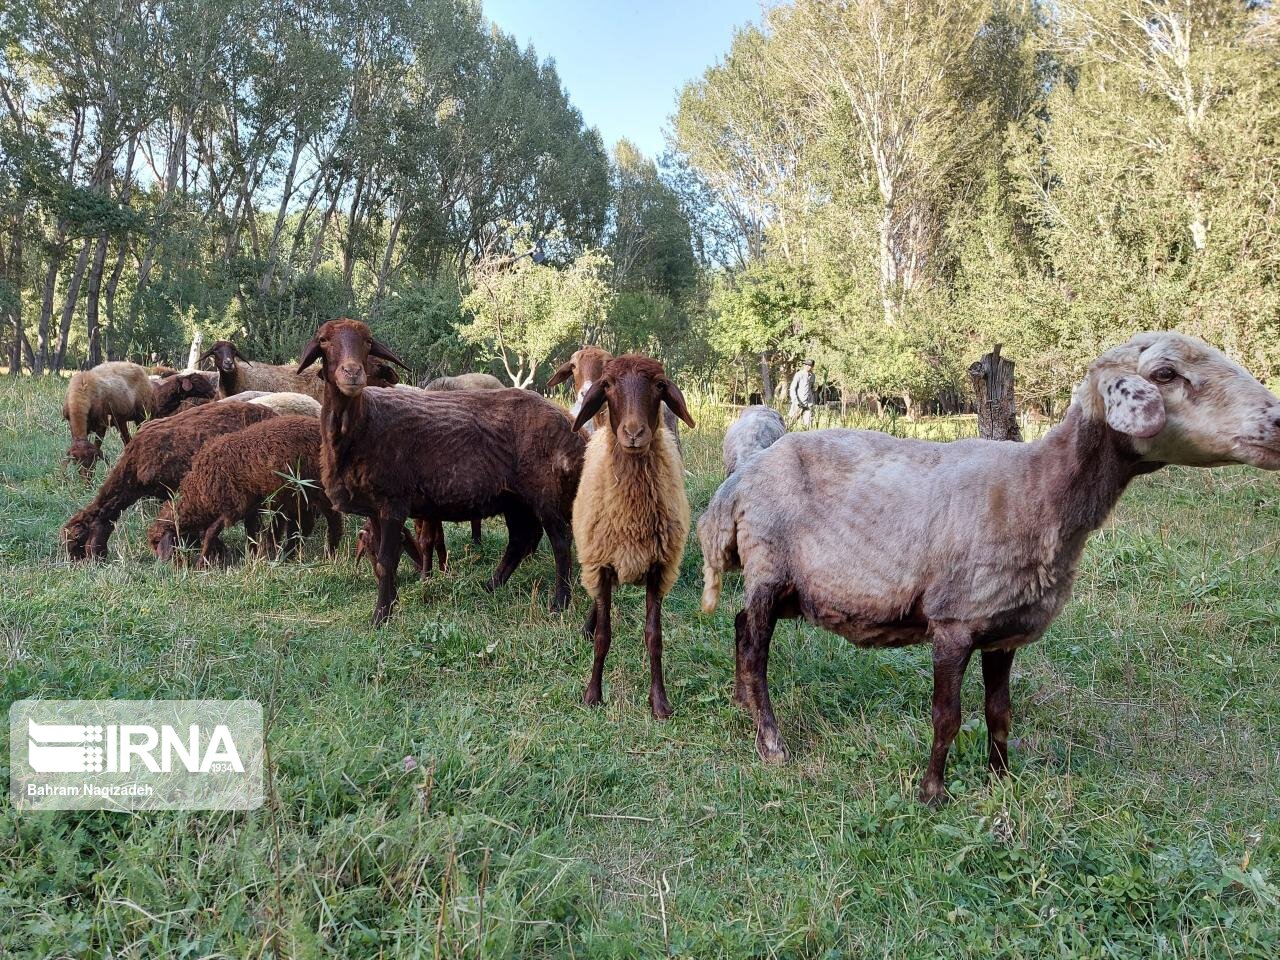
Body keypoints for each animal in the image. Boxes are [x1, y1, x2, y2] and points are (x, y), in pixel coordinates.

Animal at [61, 399, 277, 563]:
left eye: (76, 540)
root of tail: (272, 413)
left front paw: (213, 552)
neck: (132, 470)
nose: (77, 565)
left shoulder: (177, 490)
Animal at [149, 414, 343, 568]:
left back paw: (330, 552)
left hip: (317, 489)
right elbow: (251, 532)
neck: (199, 490)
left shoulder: (233, 505)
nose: (169, 566)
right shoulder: (250, 506)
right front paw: (254, 555)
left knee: (333, 519)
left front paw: (201, 563)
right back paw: (288, 555)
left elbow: (211, 532)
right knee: (305, 524)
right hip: (297, 494)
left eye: (158, 543)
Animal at [296, 320, 583, 627]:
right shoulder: (374, 507)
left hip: (544, 491)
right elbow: (384, 559)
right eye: (324, 341)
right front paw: (391, 603)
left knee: (561, 541)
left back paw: (560, 602)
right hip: (515, 498)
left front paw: (380, 616)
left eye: (368, 341)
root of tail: (570, 425)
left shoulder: (394, 502)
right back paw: (491, 586)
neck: (363, 424)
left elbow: (387, 560)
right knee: (519, 539)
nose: (352, 373)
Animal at [696, 330, 1280, 803]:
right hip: (769, 564)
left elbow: (1000, 713)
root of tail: (736, 484)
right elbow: (947, 716)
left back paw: (741, 703)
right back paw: (770, 741)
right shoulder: (953, 620)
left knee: (740, 626)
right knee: (755, 648)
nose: (1277, 424)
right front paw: (933, 793)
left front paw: (1001, 780)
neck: (1039, 490)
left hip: (785, 583)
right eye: (1163, 374)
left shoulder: (1004, 630)